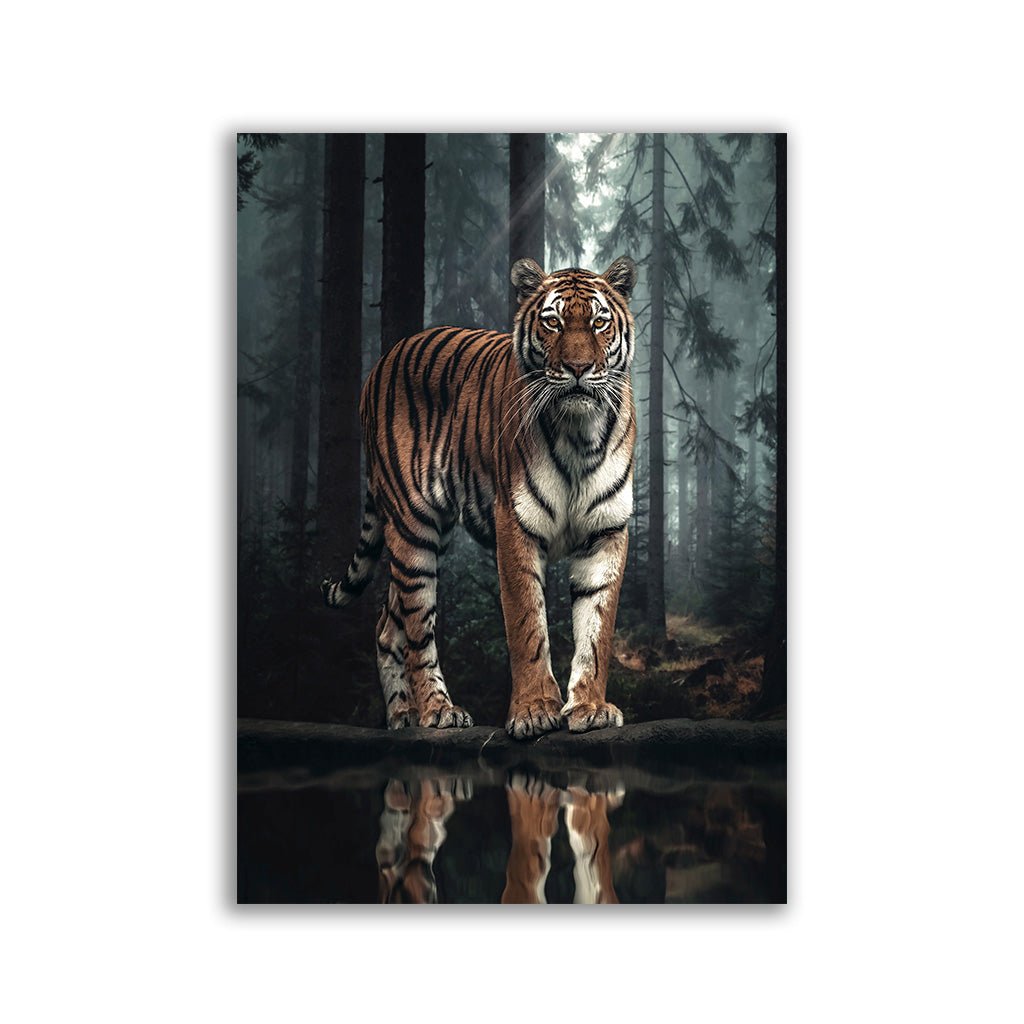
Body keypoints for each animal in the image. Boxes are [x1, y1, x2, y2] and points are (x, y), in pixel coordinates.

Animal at [321, 255, 638, 739]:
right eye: (553, 322)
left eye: (600, 322)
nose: (579, 368)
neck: (579, 433)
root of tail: (382, 361)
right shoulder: (516, 524)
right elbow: (527, 625)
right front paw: (533, 712)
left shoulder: (606, 532)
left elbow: (596, 629)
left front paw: (590, 707)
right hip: (413, 530)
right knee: (416, 629)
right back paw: (437, 711)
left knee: (387, 626)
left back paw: (400, 717)